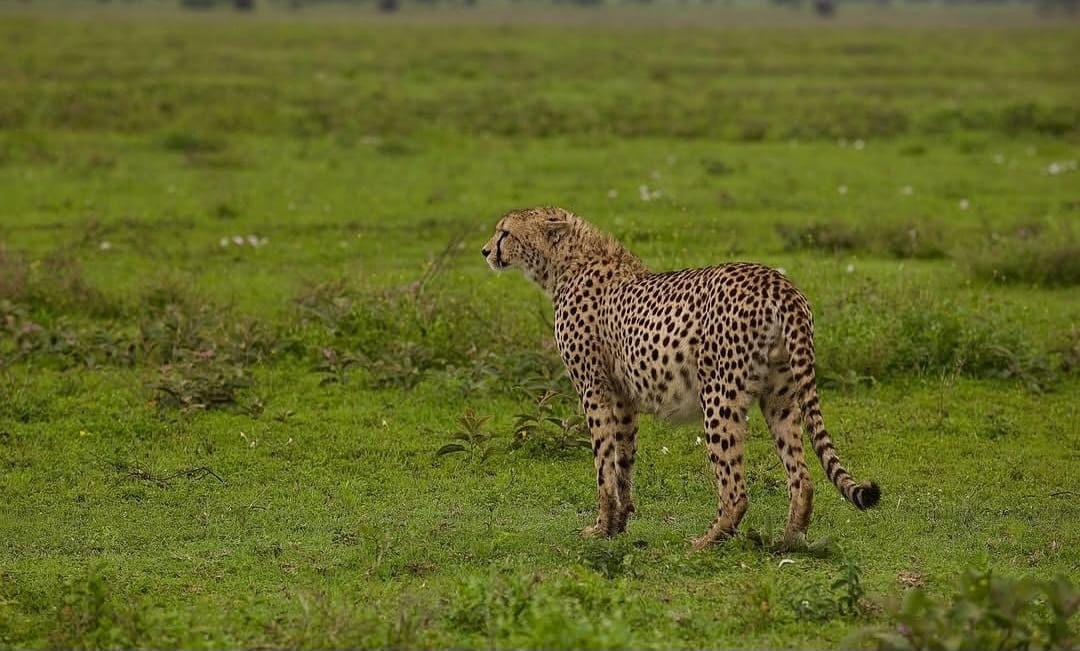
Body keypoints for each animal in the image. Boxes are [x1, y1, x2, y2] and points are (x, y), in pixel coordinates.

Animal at [481, 206, 880, 549]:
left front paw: (600, 527)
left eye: (505, 232)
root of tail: (777, 281)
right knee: (802, 478)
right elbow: (623, 463)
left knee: (736, 489)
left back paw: (707, 541)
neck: (567, 263)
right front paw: (618, 526)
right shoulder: (625, 398)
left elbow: (603, 465)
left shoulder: (594, 389)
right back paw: (790, 540)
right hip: (780, 397)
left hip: (719, 395)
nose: (485, 251)